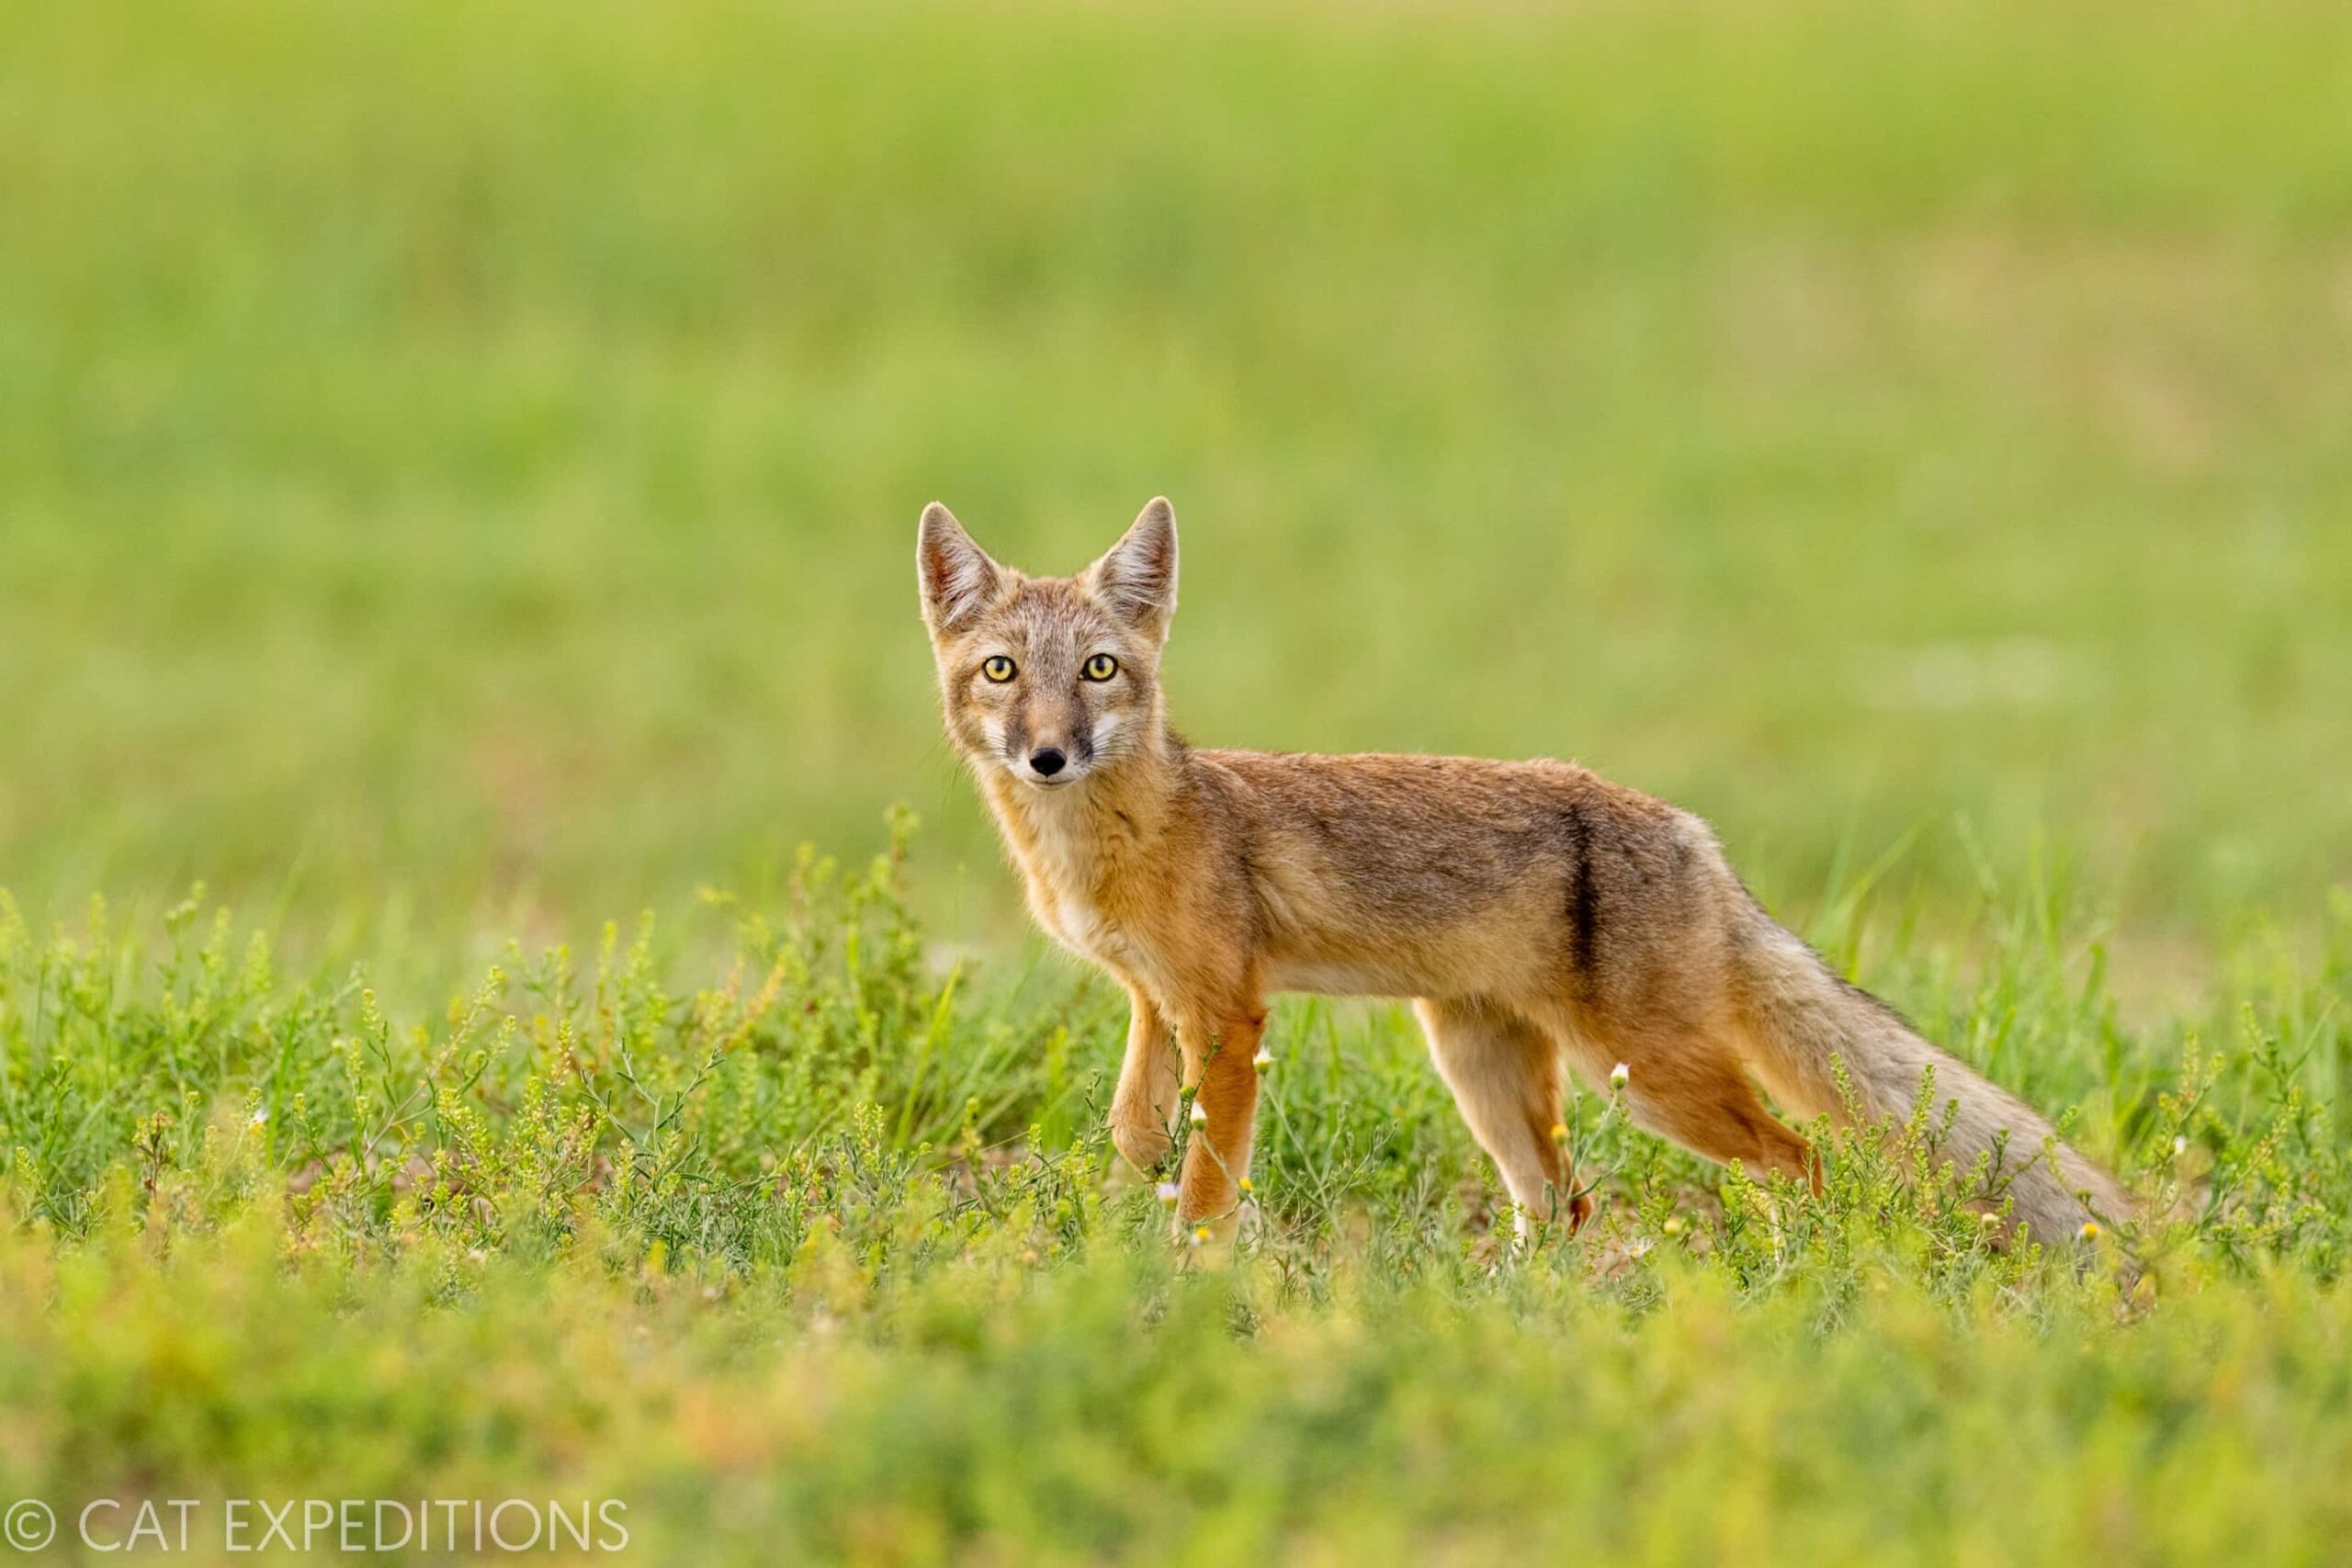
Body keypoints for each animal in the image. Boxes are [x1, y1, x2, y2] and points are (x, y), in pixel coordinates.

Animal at [917, 495, 2135, 1241]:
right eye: (1002, 671)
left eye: (1098, 670)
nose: (1047, 754)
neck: (1109, 844)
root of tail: (1694, 834)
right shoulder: (1152, 999)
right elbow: (1134, 1133)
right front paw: (1119, 1241)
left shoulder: (1228, 1014)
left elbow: (1210, 1181)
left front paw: (1187, 1274)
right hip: (1483, 1069)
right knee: (1564, 1208)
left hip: (1647, 1077)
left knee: (1799, 1161)